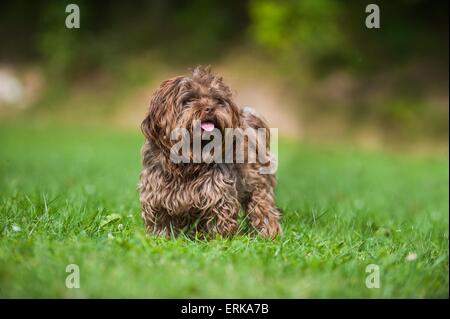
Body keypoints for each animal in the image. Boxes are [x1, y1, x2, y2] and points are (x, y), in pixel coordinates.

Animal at [141, 66, 282, 239]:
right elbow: (160, 217)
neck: (190, 157)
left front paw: (220, 239)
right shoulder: (156, 190)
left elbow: (219, 215)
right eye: (189, 99)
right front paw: (161, 237)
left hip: (258, 184)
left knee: (263, 208)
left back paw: (268, 233)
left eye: (217, 100)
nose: (210, 108)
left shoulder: (217, 190)